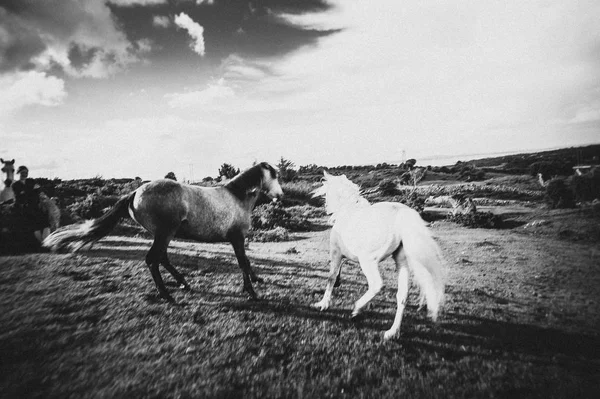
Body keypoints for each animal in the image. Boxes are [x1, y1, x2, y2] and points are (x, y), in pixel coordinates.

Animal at [310, 172, 446, 340]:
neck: (348, 210)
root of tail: (400, 215)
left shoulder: (336, 254)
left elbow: (331, 278)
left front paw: (323, 304)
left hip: (368, 261)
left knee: (377, 284)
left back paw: (357, 309)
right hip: (401, 261)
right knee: (402, 296)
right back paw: (392, 332)